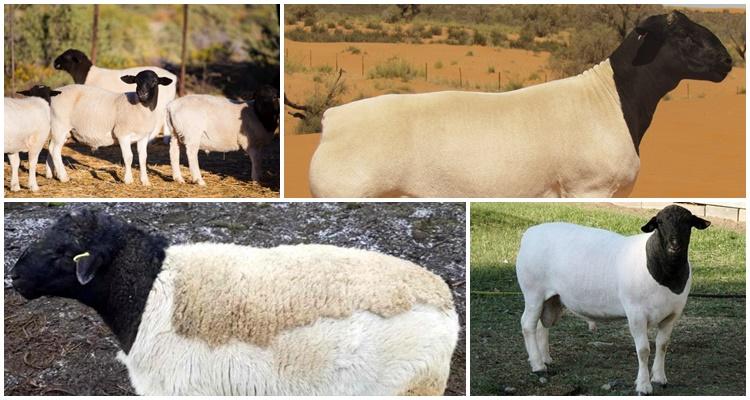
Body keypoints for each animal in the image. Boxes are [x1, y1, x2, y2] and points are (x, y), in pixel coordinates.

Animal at [515, 205, 710, 395]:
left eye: (688, 222)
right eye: (660, 222)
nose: (674, 245)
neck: (665, 274)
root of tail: (530, 233)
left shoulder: (672, 315)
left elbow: (662, 345)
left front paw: (660, 378)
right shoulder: (636, 313)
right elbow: (643, 350)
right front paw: (643, 385)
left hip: (551, 299)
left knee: (542, 326)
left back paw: (545, 359)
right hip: (533, 292)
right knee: (527, 325)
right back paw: (538, 365)